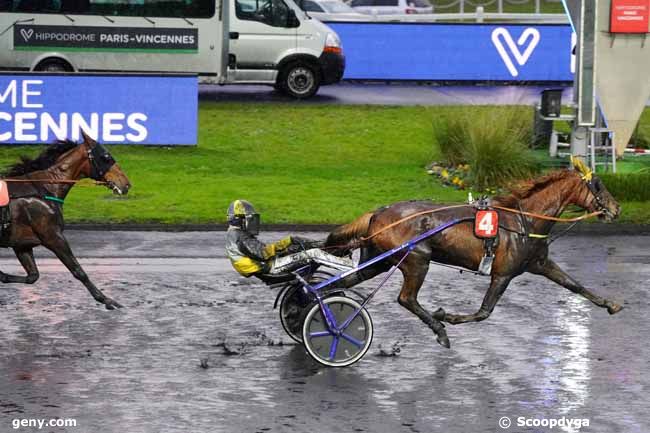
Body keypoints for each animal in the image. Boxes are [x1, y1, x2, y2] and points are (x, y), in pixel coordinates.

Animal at [0, 131, 130, 308]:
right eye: (106, 157)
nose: (126, 184)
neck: (45, 188)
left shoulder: (21, 243)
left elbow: (32, 276)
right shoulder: (53, 236)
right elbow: (78, 271)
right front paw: (106, 299)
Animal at [326, 162, 620, 348]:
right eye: (598, 184)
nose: (616, 209)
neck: (524, 221)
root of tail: (378, 212)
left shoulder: (540, 263)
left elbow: (575, 285)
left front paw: (611, 304)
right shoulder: (502, 274)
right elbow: (483, 312)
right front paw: (447, 316)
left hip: (378, 259)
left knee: (347, 281)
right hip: (416, 259)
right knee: (406, 298)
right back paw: (439, 330)